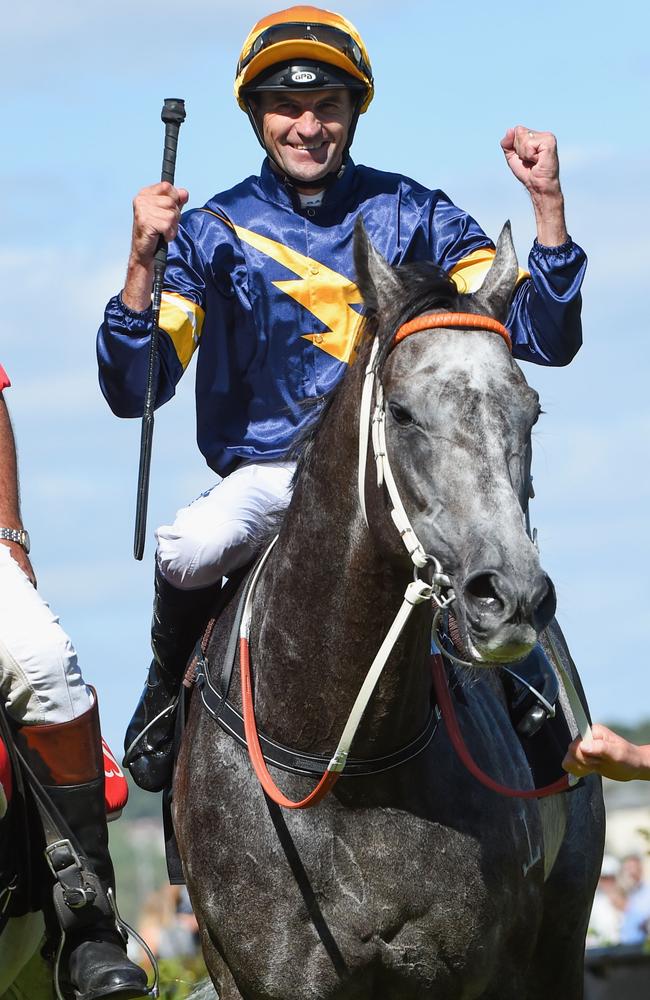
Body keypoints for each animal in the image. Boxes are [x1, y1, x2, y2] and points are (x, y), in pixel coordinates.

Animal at [172, 221, 604, 1000]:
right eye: (401, 412)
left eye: (530, 409)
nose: (511, 595)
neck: (346, 767)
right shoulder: (262, 972)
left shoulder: (476, 967)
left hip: (560, 936)